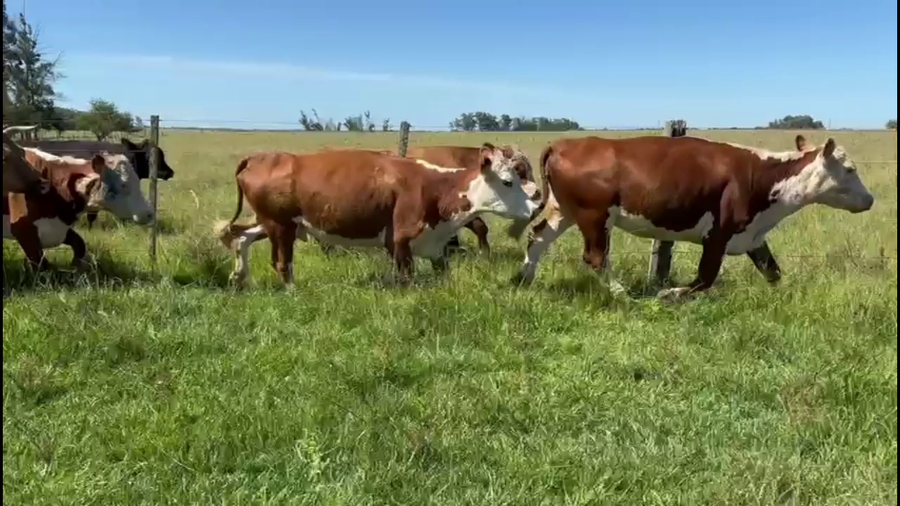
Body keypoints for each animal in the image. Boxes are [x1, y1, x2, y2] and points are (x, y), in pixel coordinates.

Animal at [4, 149, 155, 269]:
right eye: (124, 184)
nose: (149, 213)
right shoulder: (24, 231)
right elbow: (40, 265)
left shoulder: (60, 227)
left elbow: (80, 244)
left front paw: (75, 266)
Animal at [510, 134, 875, 300]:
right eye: (850, 169)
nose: (870, 199)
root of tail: (565, 143)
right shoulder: (719, 233)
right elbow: (705, 277)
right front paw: (669, 294)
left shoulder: (752, 236)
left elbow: (773, 271)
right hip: (595, 216)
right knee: (595, 257)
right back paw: (622, 294)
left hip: (564, 211)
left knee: (538, 237)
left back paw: (523, 279)